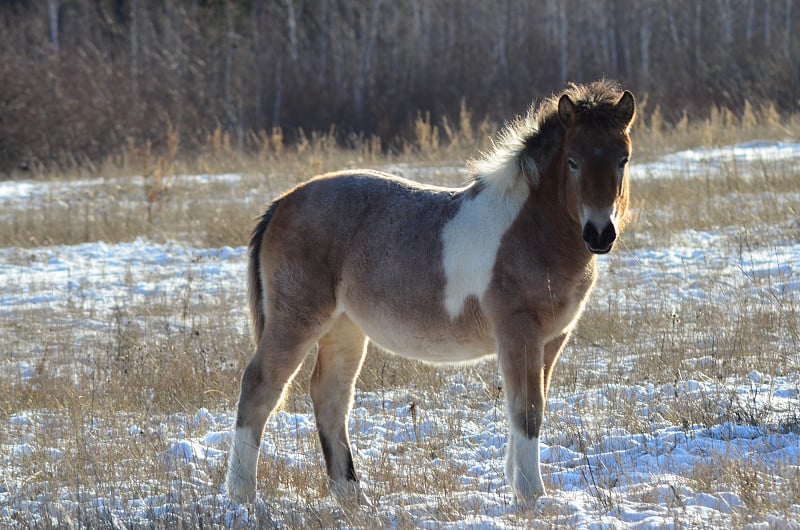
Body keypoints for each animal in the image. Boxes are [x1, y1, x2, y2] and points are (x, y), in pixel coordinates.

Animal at [227, 80, 636, 506]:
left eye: (623, 160)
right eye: (572, 161)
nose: (600, 233)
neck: (531, 229)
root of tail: (281, 203)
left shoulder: (552, 339)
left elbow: (527, 406)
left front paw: (518, 487)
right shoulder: (519, 333)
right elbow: (527, 410)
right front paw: (531, 495)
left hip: (344, 328)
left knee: (330, 396)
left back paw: (352, 496)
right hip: (298, 319)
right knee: (260, 387)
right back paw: (242, 495)